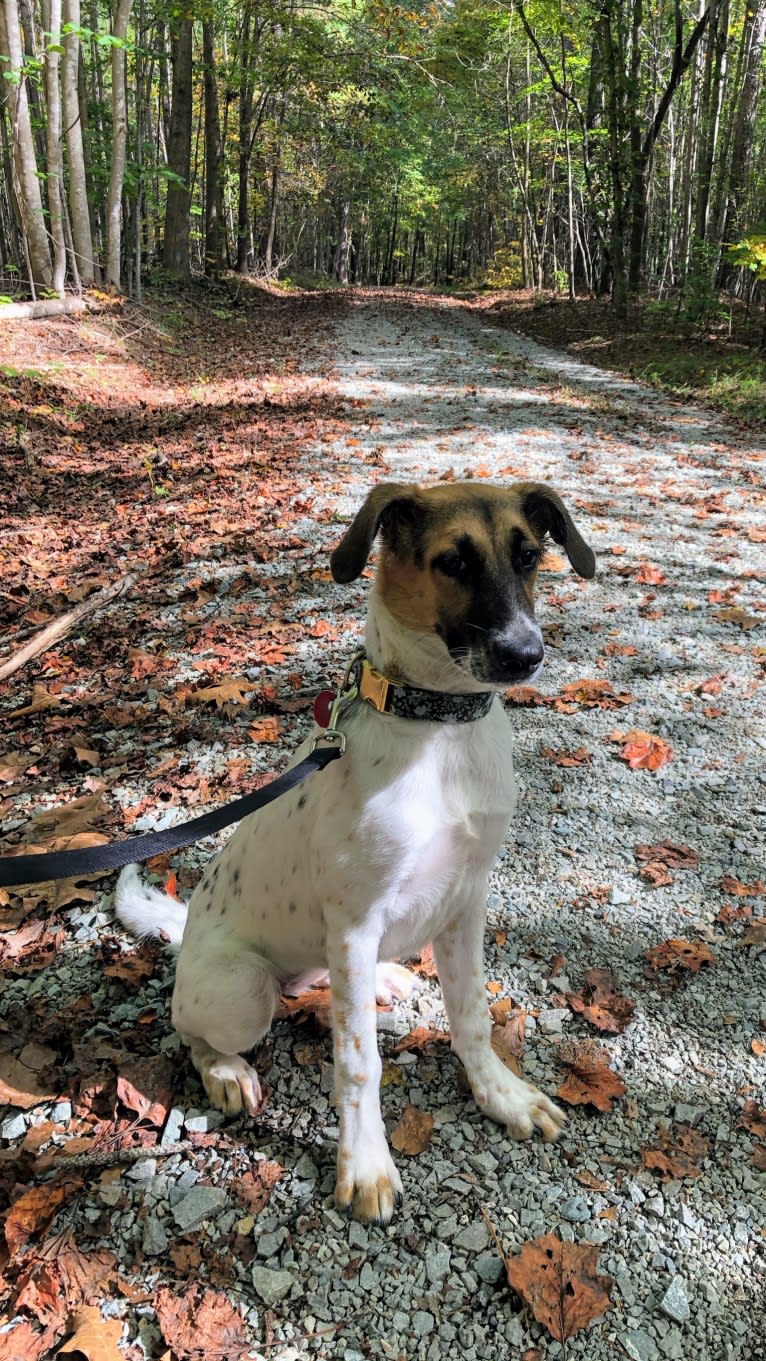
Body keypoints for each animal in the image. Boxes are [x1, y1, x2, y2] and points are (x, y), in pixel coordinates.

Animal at [117, 479, 595, 1224]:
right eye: (453, 562)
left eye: (528, 556)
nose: (526, 655)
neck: (439, 733)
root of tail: (187, 932)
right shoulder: (353, 925)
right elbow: (359, 1064)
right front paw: (366, 1162)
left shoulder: (466, 902)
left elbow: (473, 1017)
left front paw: (500, 1095)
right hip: (241, 991)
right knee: (189, 1027)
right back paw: (226, 1071)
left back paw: (387, 980)